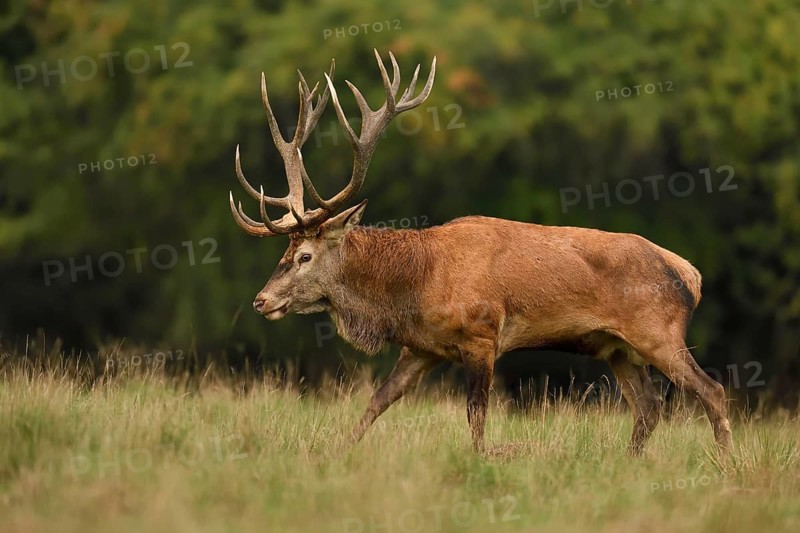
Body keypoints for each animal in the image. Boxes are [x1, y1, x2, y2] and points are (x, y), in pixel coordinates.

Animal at [228, 50, 732, 455]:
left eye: (305, 256)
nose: (261, 300)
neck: (415, 286)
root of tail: (690, 274)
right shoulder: (421, 347)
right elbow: (377, 401)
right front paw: (336, 452)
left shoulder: (482, 335)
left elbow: (476, 416)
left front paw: (477, 462)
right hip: (619, 348)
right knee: (648, 406)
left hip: (657, 331)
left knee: (713, 390)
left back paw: (726, 464)